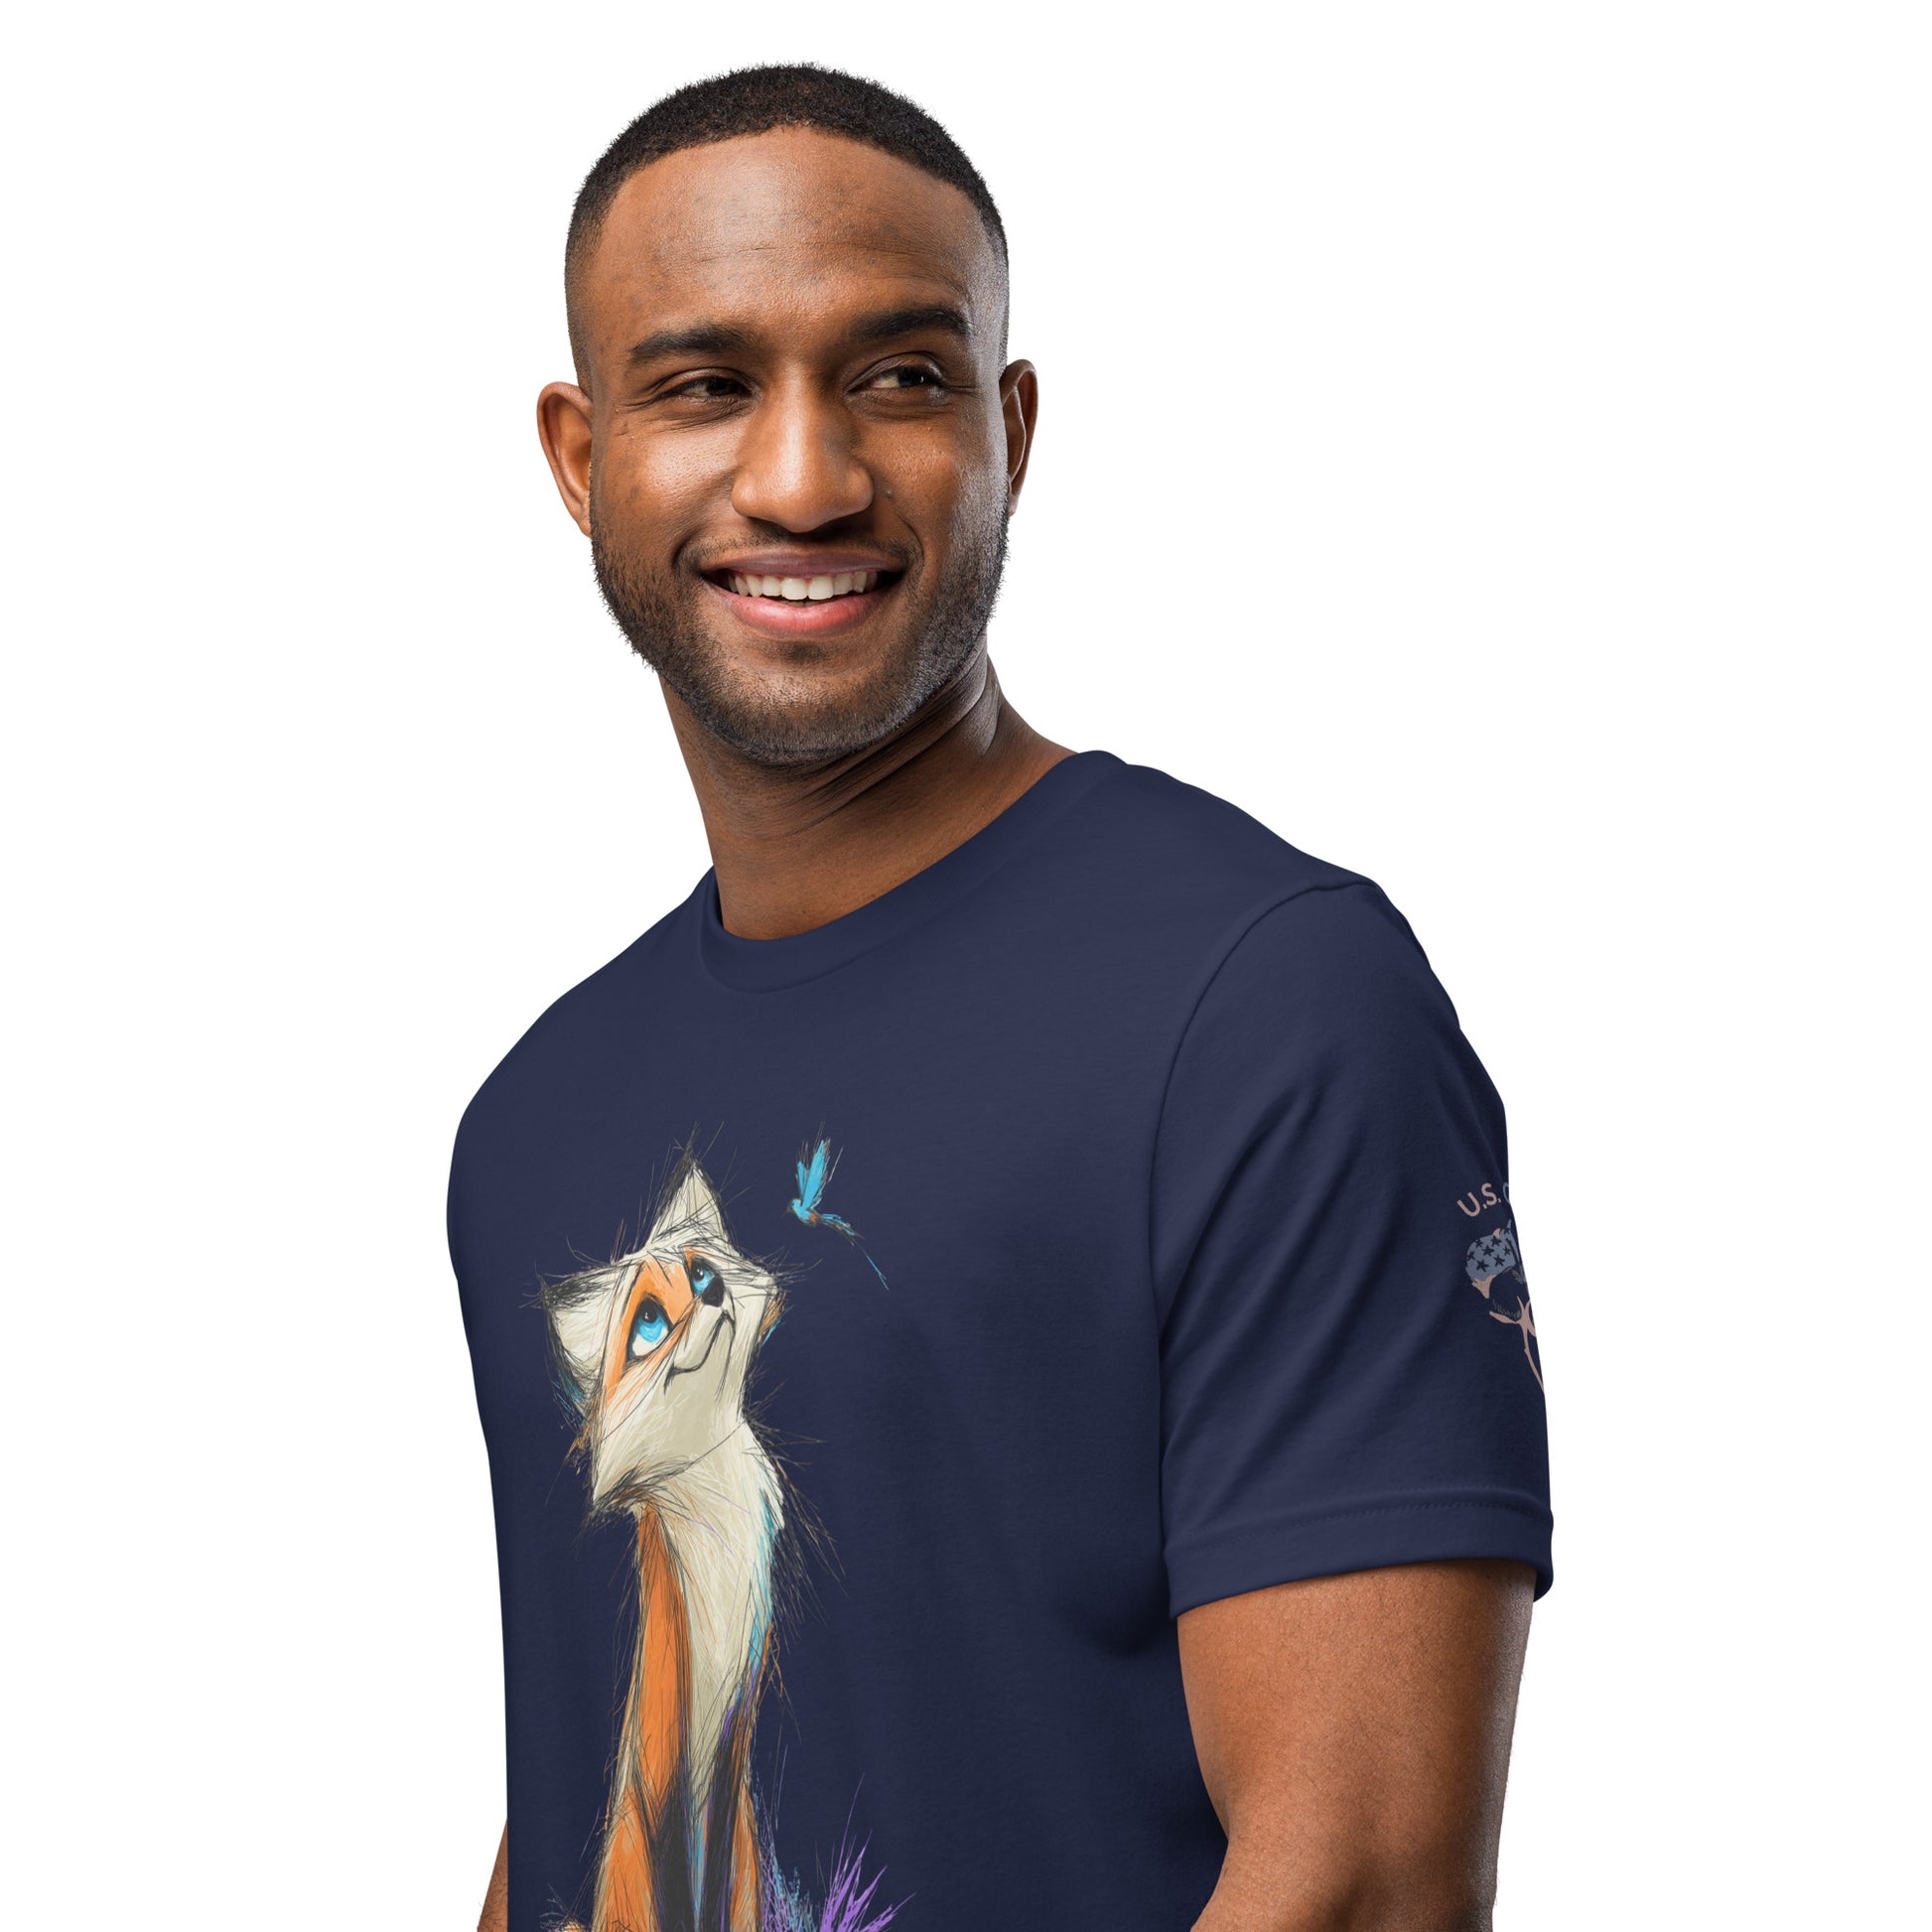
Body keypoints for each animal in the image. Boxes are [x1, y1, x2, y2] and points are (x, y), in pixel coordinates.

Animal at [543, 1158, 785, 1932]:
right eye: (649, 1320)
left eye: (702, 1270)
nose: (710, 1293)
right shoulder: (669, 1758)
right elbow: (678, 1879)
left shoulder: (733, 1747)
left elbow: (725, 1884)